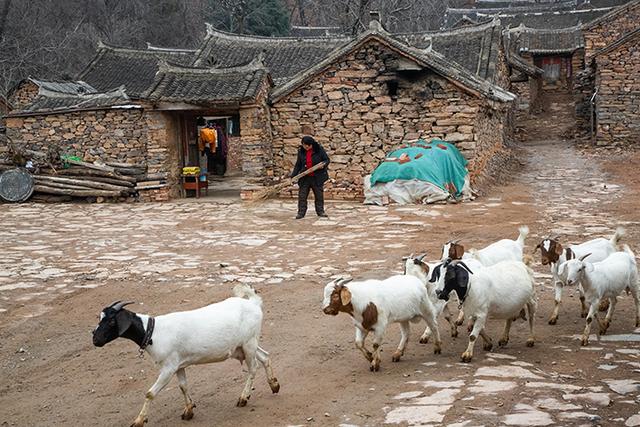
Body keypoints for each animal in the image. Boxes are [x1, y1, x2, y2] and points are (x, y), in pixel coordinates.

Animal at [92, 284, 280, 427]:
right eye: (100, 318)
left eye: (111, 320)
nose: (95, 339)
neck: (153, 331)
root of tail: (254, 303)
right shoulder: (178, 365)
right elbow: (183, 386)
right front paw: (189, 410)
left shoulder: (168, 368)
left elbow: (150, 393)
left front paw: (139, 421)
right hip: (243, 346)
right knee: (265, 356)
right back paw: (274, 385)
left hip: (249, 343)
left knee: (253, 368)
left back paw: (243, 398)